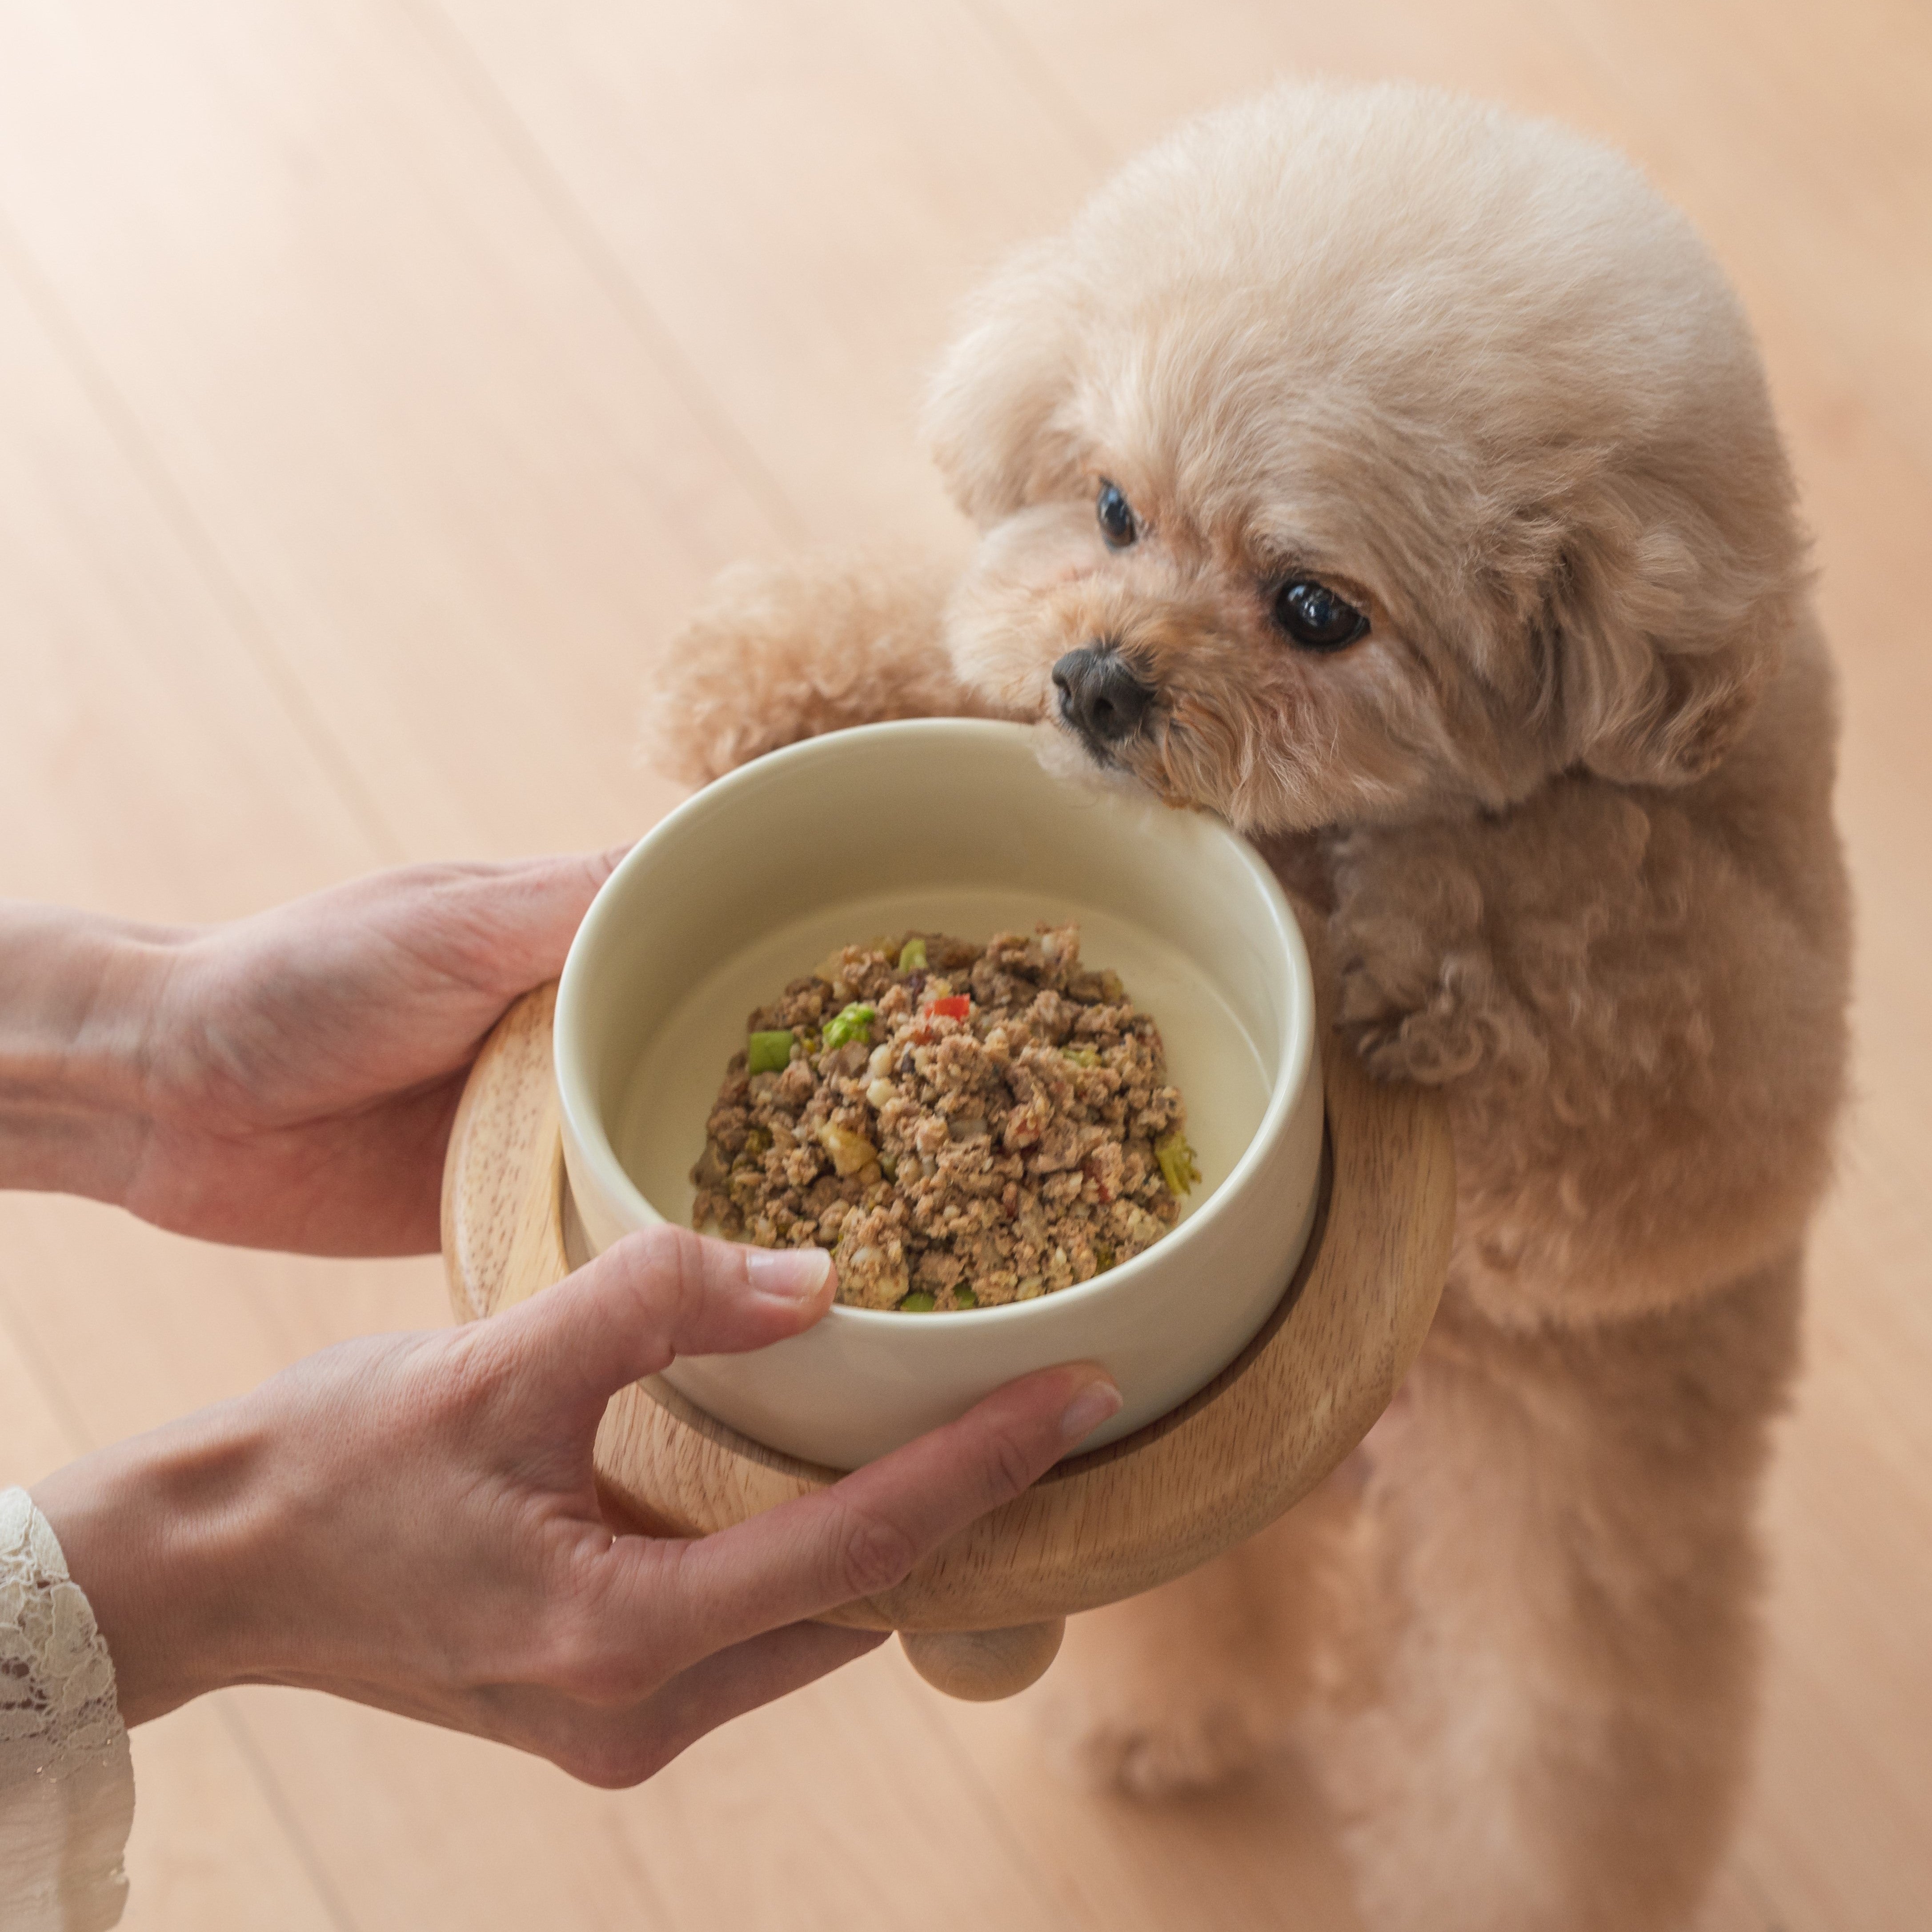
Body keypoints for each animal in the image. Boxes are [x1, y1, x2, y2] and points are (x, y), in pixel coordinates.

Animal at [641, 79, 1847, 1932]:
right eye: (1110, 507)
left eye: (1314, 609)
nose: (1097, 683)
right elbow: (933, 632)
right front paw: (767, 681)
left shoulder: (1736, 1059)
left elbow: (1611, 960)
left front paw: (1428, 959)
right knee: (1210, 1590)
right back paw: (1161, 1722)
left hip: (1562, 1510)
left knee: (1553, 1750)